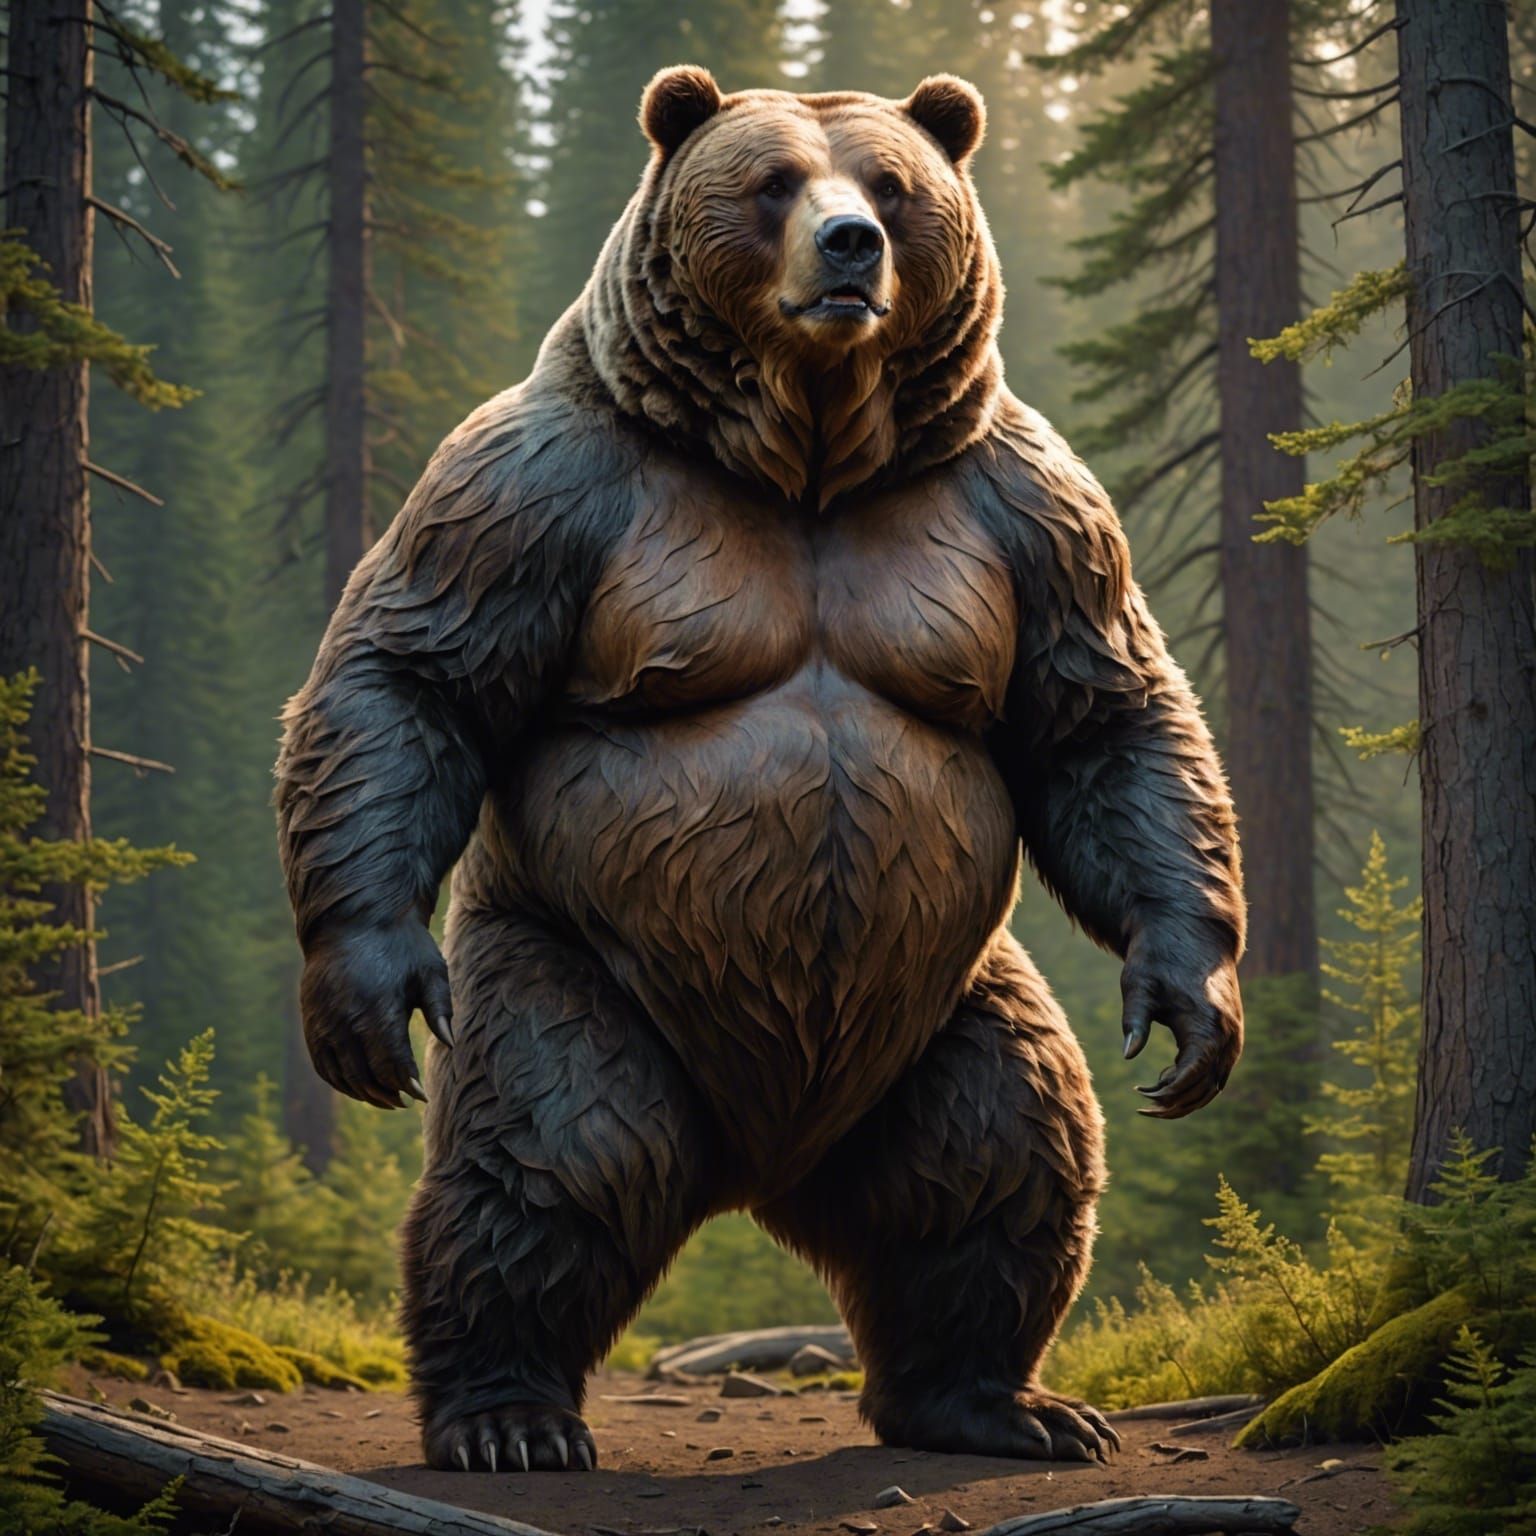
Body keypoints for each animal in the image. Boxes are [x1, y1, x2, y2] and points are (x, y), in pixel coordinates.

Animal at [274, 67, 1245, 1473]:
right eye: (774, 180)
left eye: (892, 184)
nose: (853, 246)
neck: (809, 454)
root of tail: (765, 1164)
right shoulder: (542, 484)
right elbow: (414, 673)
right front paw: (360, 998)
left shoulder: (1022, 503)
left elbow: (1104, 709)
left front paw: (1190, 1006)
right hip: (575, 968)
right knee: (557, 1155)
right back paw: (508, 1415)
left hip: (949, 1005)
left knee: (1004, 1152)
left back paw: (1000, 1403)